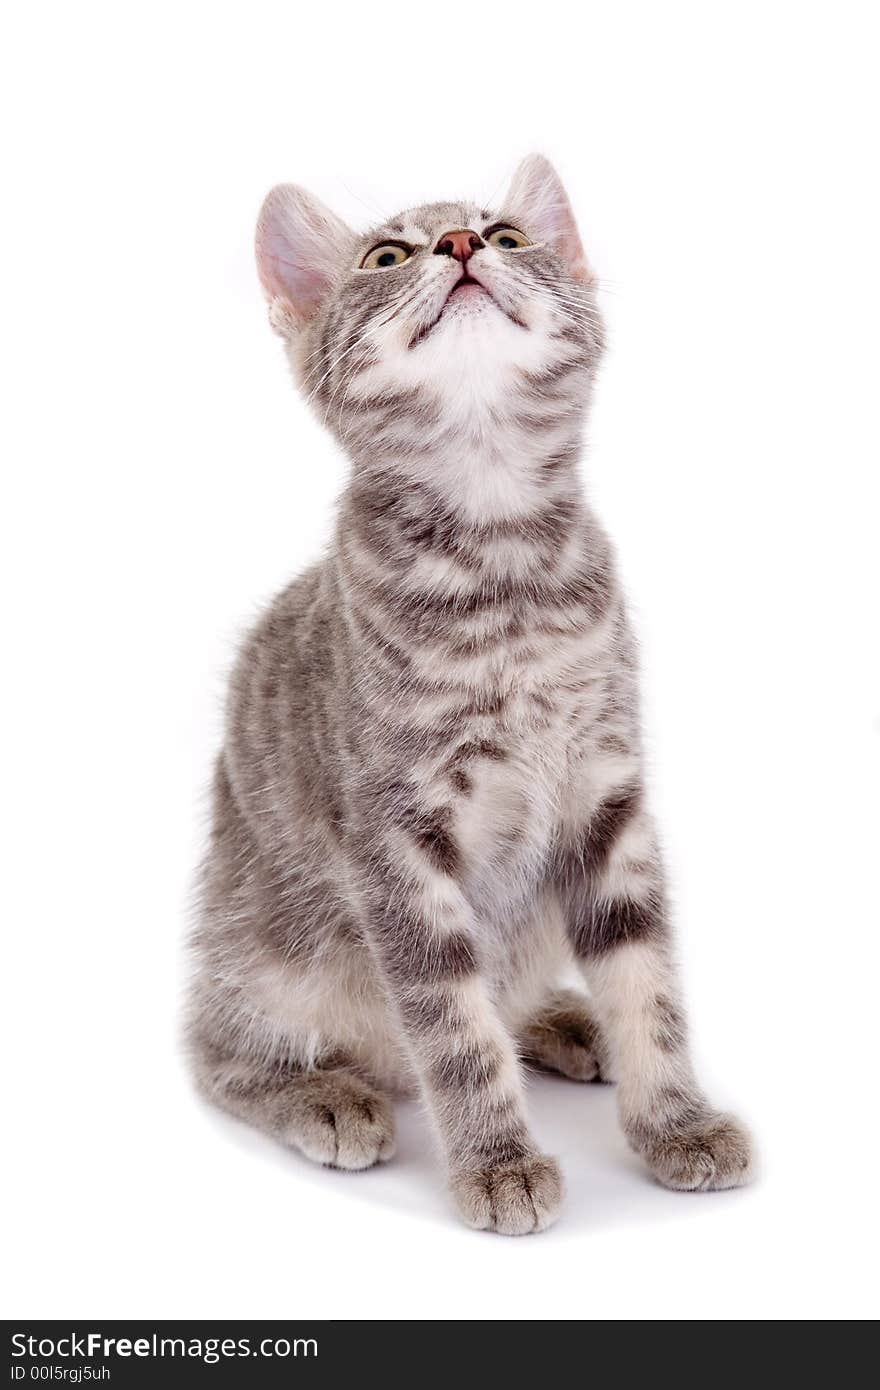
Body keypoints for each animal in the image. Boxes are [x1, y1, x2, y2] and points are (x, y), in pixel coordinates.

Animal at [189, 157, 750, 1234]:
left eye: (508, 236)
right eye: (385, 256)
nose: (459, 246)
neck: (503, 561)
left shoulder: (607, 797)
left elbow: (646, 977)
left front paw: (676, 1119)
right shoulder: (394, 838)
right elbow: (451, 1024)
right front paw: (498, 1161)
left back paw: (563, 1018)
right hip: (270, 950)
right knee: (216, 1047)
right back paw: (321, 1092)